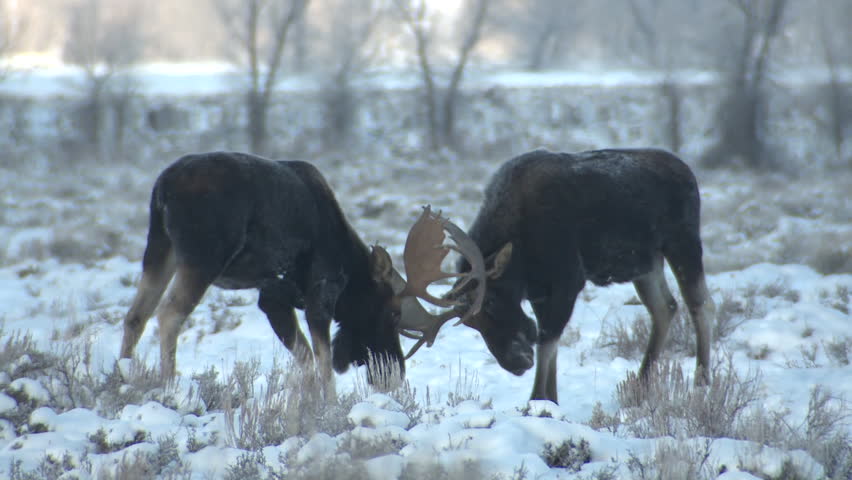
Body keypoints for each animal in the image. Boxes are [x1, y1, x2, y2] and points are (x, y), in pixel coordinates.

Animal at [119, 151, 486, 387]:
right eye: (393, 313)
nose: (394, 373)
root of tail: (162, 187)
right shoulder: (320, 293)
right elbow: (323, 364)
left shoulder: (273, 297)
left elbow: (306, 361)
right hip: (203, 256)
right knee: (168, 314)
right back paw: (168, 385)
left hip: (160, 246)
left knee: (136, 314)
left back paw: (122, 375)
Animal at [403, 148, 715, 404]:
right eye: (472, 324)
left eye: (490, 302)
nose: (516, 364)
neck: (521, 259)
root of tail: (688, 172)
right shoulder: (540, 292)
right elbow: (549, 343)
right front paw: (550, 399)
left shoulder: (568, 282)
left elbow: (547, 342)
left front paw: (537, 401)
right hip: (646, 263)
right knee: (665, 307)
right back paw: (641, 383)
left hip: (683, 242)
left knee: (699, 304)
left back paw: (702, 380)